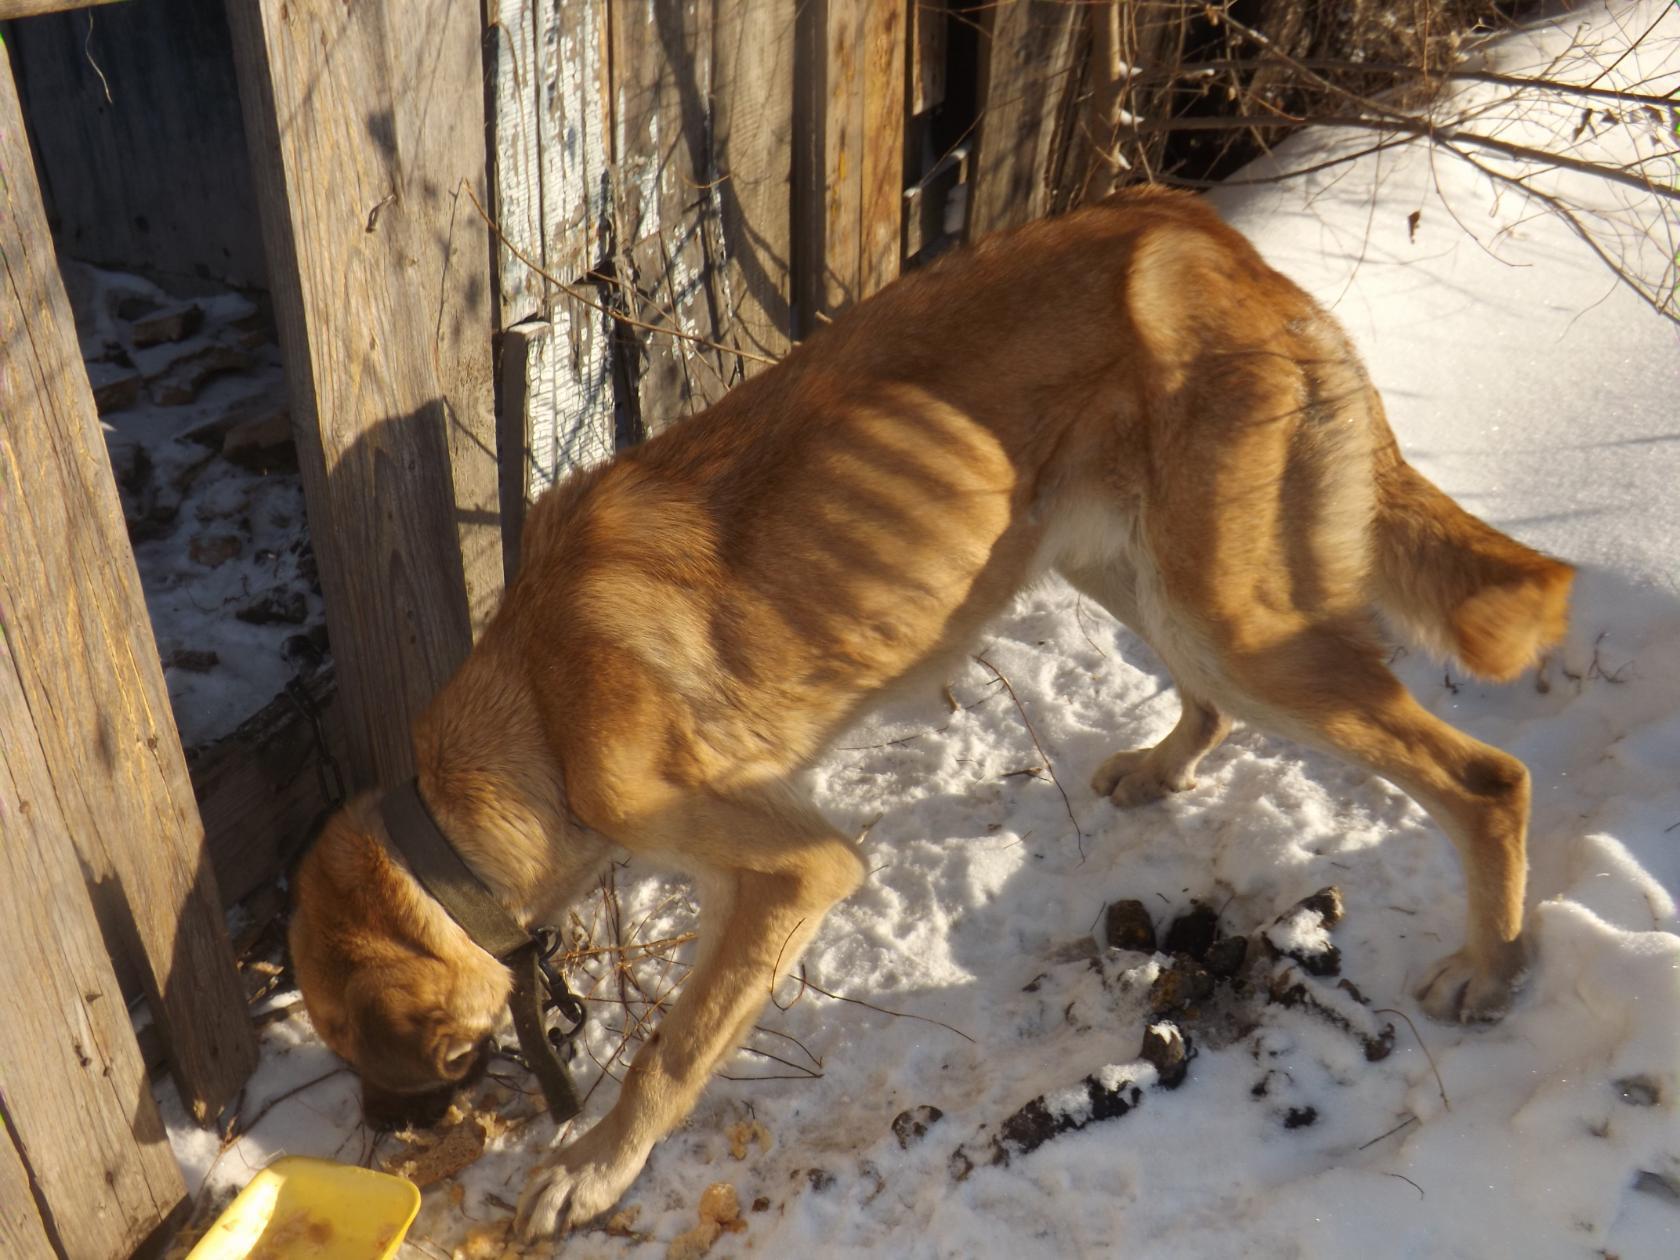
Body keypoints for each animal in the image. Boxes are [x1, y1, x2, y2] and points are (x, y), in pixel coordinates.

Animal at [292, 189, 1572, 1243]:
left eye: (353, 1043)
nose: (387, 1137)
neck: (530, 710)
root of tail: (1219, 241)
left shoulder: (798, 871)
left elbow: (672, 1049)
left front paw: (594, 1167)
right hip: (1120, 565)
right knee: (1210, 702)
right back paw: (1163, 766)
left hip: (1228, 615)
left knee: (1486, 779)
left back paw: (1493, 964)